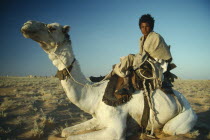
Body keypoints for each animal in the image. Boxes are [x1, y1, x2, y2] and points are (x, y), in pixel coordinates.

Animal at [20, 20, 197, 139]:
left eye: (52, 27)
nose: (27, 25)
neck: (93, 93)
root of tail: (185, 100)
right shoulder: (98, 118)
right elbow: (65, 132)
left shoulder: (115, 128)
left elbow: (71, 137)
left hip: (186, 115)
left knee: (169, 129)